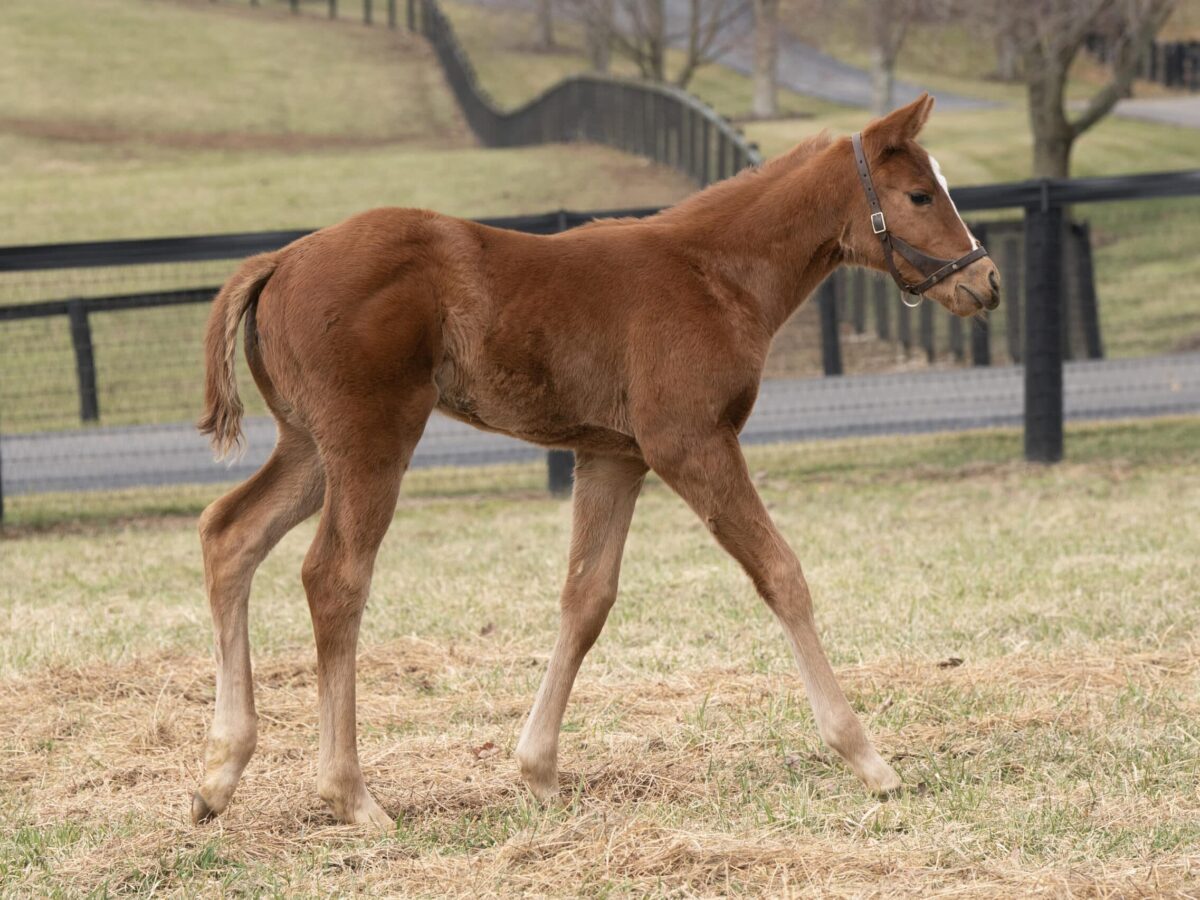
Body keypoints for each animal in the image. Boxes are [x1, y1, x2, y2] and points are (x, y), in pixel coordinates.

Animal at [196, 95, 998, 830]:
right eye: (919, 195)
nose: (985, 282)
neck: (713, 275)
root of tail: (280, 259)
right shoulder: (691, 442)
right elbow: (781, 574)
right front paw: (868, 758)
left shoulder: (613, 458)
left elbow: (587, 599)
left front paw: (539, 771)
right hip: (372, 439)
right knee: (333, 575)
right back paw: (350, 795)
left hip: (309, 445)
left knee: (229, 534)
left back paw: (219, 775)